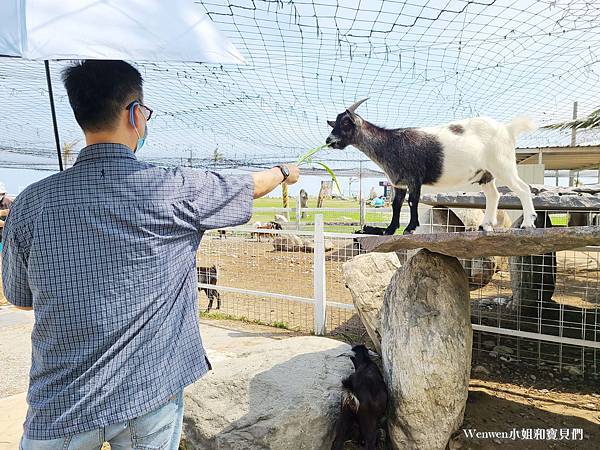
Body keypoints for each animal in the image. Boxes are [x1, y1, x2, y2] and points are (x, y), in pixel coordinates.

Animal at [326, 99, 536, 236]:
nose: (329, 140)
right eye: (335, 123)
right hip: (486, 173)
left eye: (346, 123)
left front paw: (410, 228)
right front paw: (389, 230)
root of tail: (507, 129)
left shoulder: (414, 177)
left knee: (523, 188)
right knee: (493, 195)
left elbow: (412, 201)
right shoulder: (399, 182)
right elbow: (396, 204)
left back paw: (527, 224)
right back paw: (486, 226)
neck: (390, 143)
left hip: (503, 165)